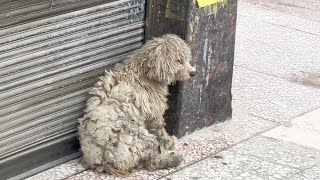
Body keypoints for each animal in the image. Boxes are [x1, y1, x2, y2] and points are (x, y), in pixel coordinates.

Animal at [79, 34, 196, 176]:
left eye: (186, 59)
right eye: (179, 61)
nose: (193, 73)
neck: (144, 73)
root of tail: (104, 160)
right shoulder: (153, 111)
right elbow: (159, 128)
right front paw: (168, 142)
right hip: (139, 139)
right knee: (151, 162)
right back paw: (171, 159)